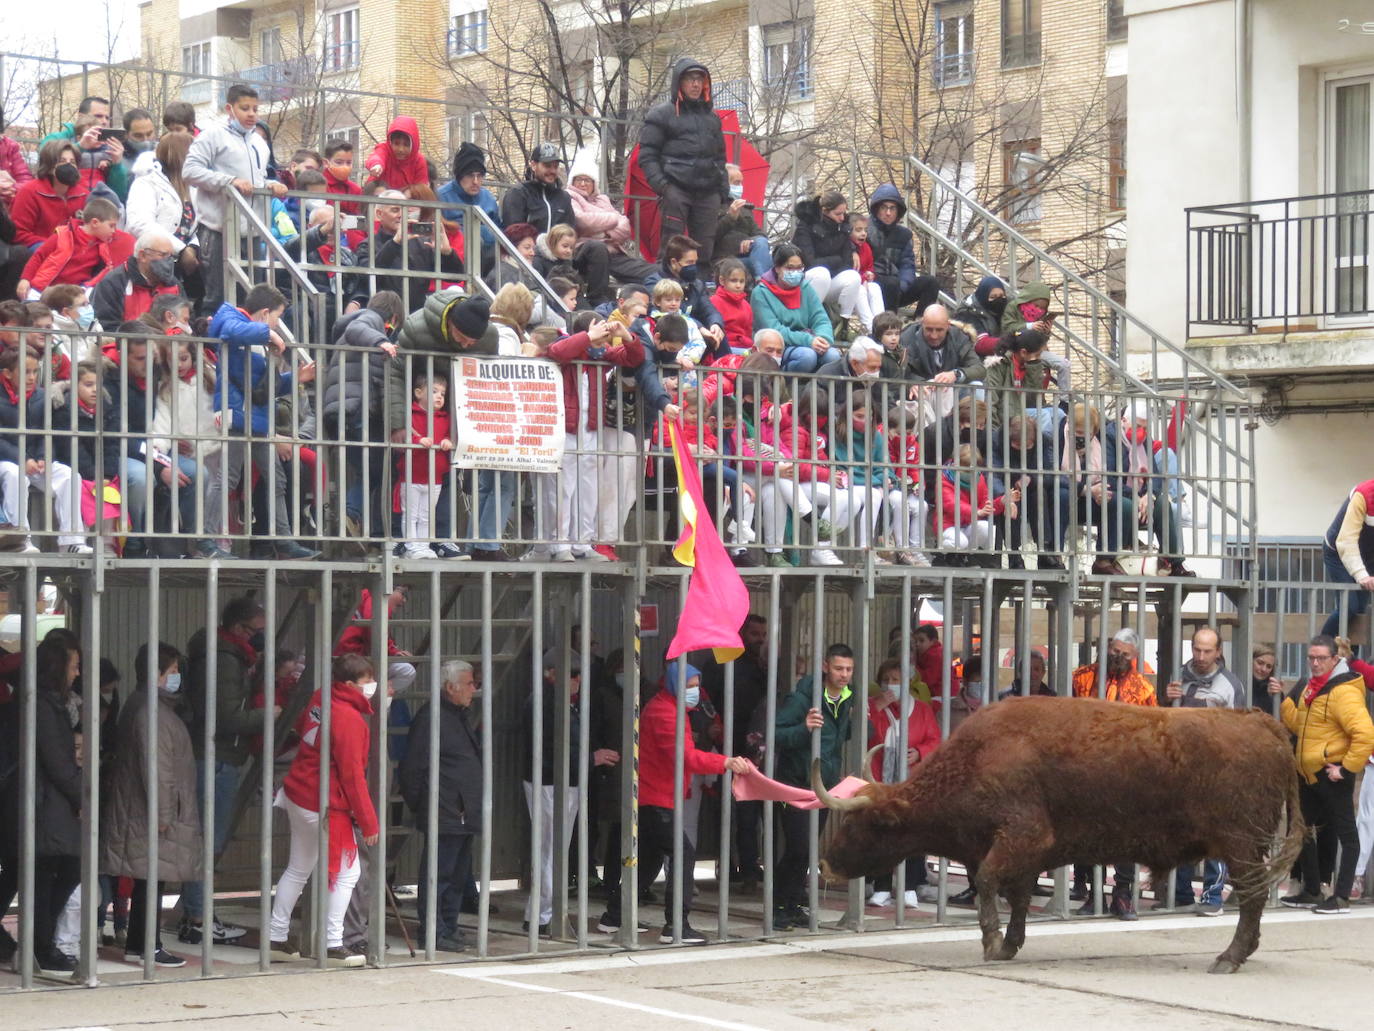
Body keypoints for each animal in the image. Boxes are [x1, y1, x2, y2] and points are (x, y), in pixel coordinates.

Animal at [813, 698, 1308, 973]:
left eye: (859, 824)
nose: (825, 864)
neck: (979, 756)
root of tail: (1263, 723)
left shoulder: (1020, 839)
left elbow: (990, 883)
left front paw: (991, 943)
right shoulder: (1022, 856)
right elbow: (1015, 897)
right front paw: (1009, 944)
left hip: (1242, 848)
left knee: (1250, 899)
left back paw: (1228, 958)